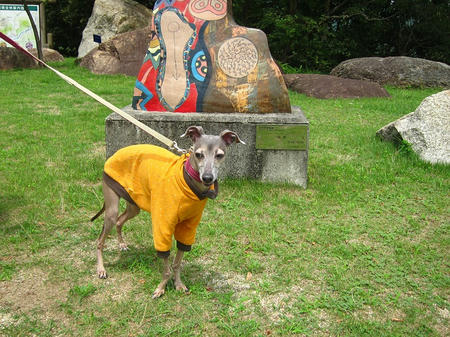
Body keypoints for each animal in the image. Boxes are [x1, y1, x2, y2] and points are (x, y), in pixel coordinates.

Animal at [90, 125, 243, 296]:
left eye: (219, 155)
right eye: (198, 154)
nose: (208, 178)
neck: (188, 183)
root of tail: (114, 153)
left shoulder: (188, 227)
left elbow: (177, 262)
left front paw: (178, 284)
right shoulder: (163, 224)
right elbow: (166, 266)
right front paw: (161, 288)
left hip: (134, 203)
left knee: (119, 221)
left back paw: (122, 244)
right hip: (111, 206)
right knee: (100, 240)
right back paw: (101, 269)